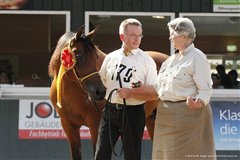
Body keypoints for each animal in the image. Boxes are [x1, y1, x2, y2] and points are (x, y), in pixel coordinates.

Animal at [48, 25, 169, 159]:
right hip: (151, 120)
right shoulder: (69, 127)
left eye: (96, 56)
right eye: (78, 57)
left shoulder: (95, 125)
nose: (99, 92)